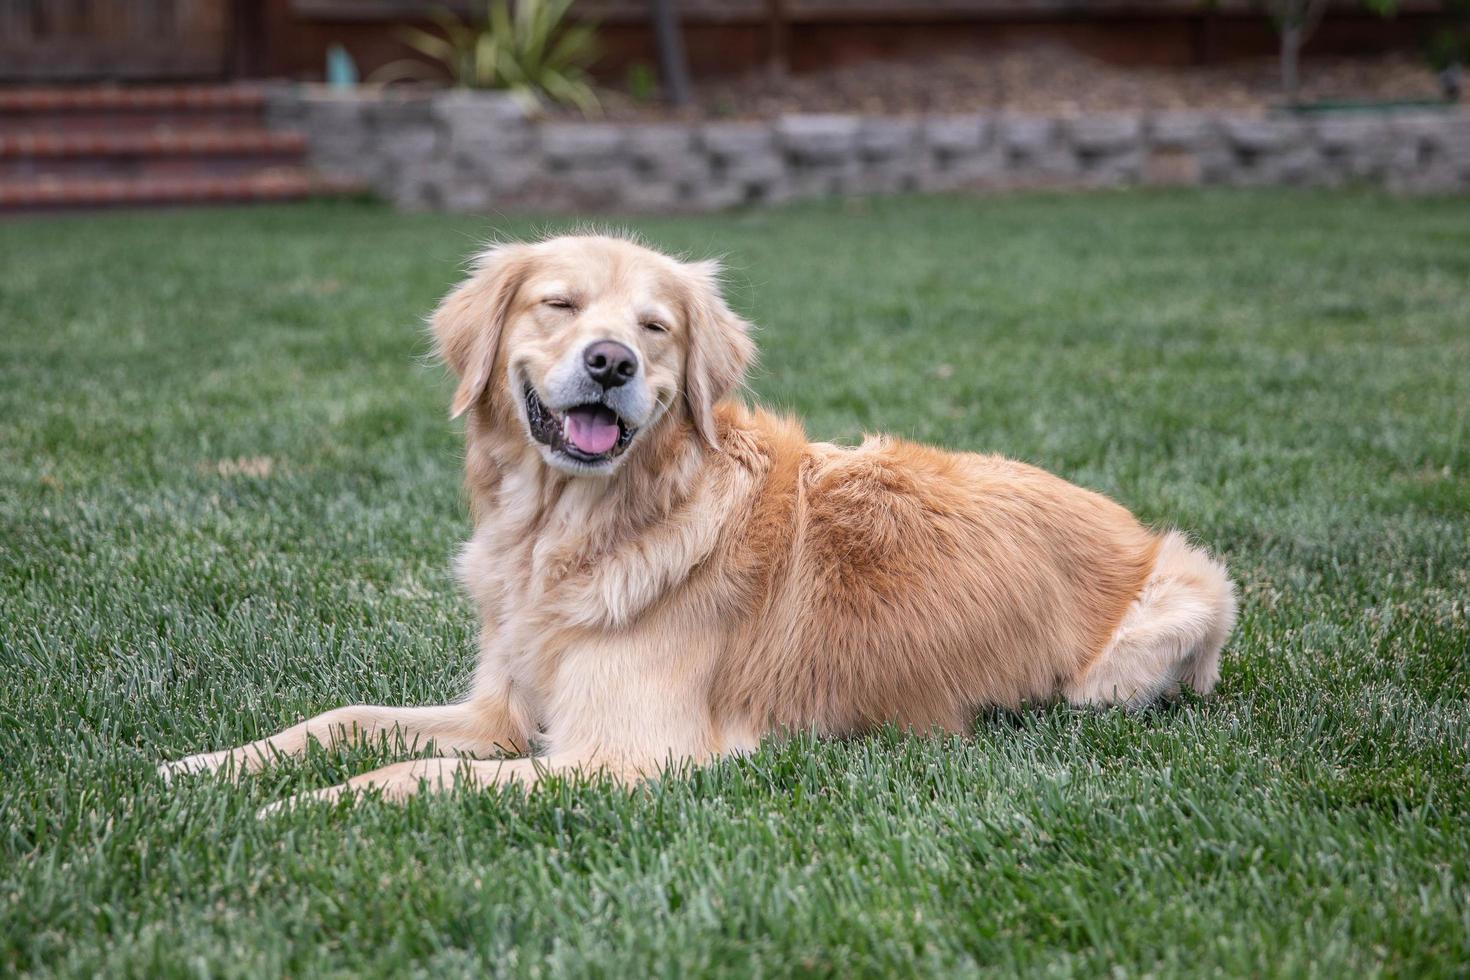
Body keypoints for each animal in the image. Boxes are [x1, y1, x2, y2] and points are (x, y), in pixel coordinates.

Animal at [163, 233, 1240, 811]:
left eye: (657, 327)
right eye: (558, 304)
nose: (610, 362)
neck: (570, 532)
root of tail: (1129, 520)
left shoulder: (618, 755)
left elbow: (401, 777)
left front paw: (294, 811)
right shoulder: (499, 712)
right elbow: (339, 720)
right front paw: (204, 767)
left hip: (1180, 602)